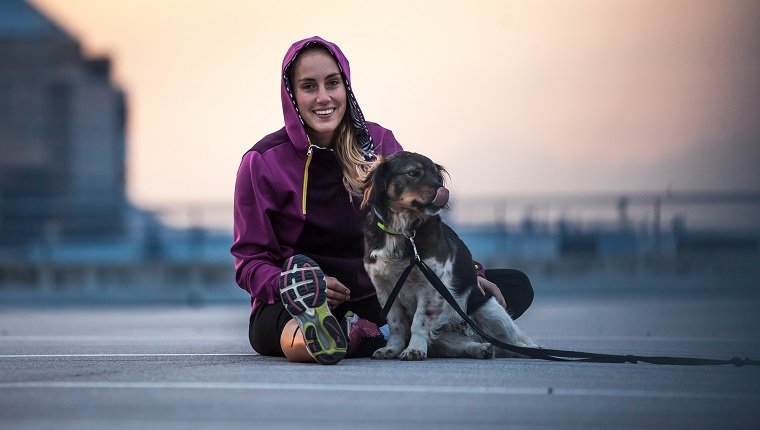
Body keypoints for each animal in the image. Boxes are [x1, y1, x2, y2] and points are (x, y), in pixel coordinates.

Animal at [360, 151, 536, 360]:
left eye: (437, 176)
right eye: (413, 173)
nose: (443, 191)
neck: (404, 230)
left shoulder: (430, 285)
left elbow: (419, 321)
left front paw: (414, 349)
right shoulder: (385, 288)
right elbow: (396, 324)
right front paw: (392, 349)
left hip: (491, 312)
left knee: (514, 343)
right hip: (446, 335)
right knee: (464, 343)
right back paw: (481, 348)